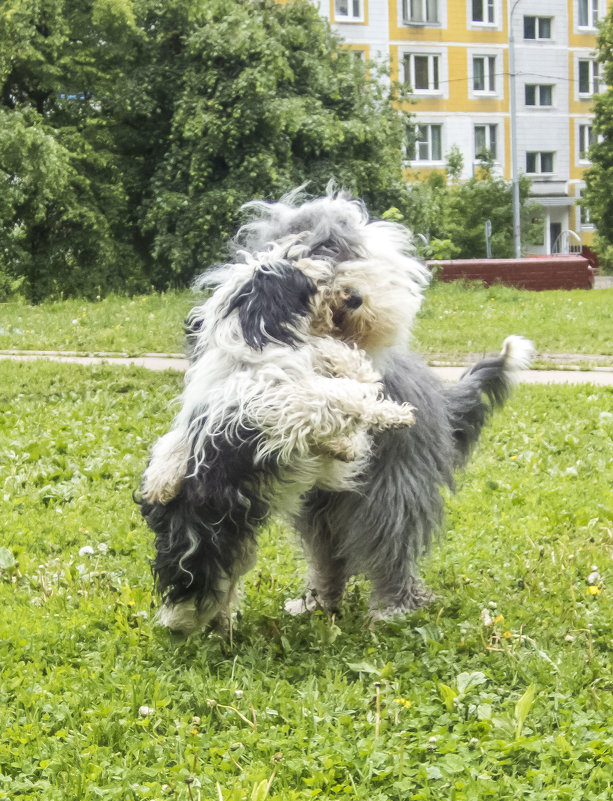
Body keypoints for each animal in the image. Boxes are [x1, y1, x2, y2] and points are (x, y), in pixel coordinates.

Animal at [139, 188, 532, 632]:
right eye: (311, 256)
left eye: (342, 256)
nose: (352, 296)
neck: (257, 342)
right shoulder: (274, 405)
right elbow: (337, 397)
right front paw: (161, 481)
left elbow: (353, 383)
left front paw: (363, 413)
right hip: (304, 517)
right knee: (318, 558)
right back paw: (302, 605)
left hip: (389, 492)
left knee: (388, 547)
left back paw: (389, 606)